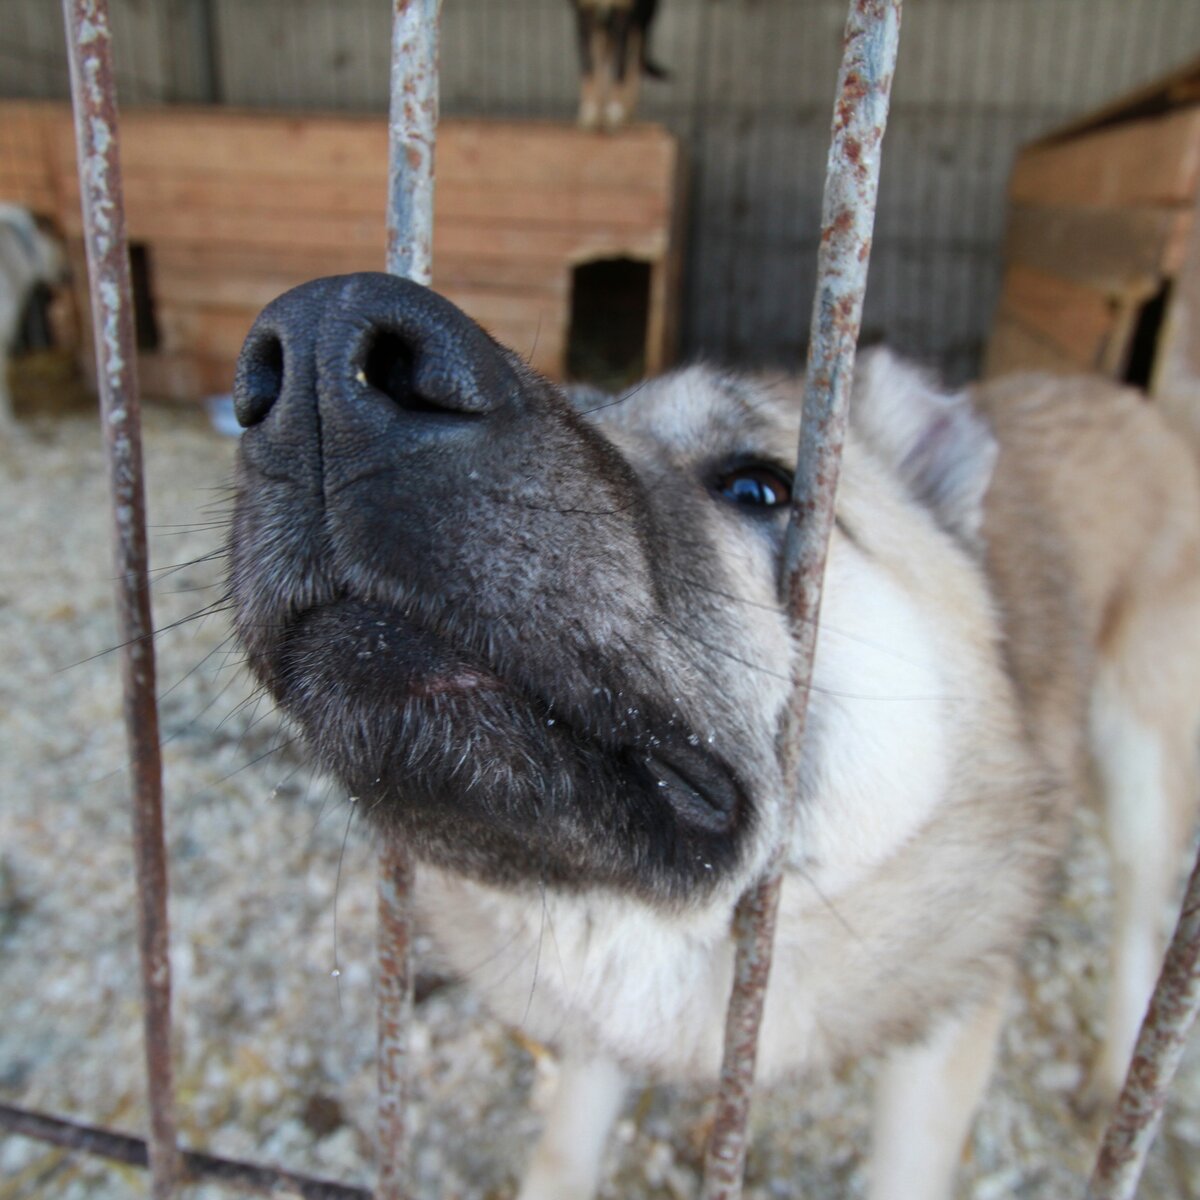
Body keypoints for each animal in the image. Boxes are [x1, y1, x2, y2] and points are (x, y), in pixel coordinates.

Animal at [226, 274, 1200, 1200]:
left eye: (759, 487)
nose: (321, 344)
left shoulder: (944, 1041)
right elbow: (566, 1146)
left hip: (1139, 773)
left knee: (1140, 920)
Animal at [568, 0, 667, 129]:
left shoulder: (623, 13)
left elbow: (620, 68)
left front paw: (614, 112)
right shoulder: (586, 13)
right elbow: (589, 69)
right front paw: (590, 113)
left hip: (641, 19)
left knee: (634, 62)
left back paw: (626, 115)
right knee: (604, 58)